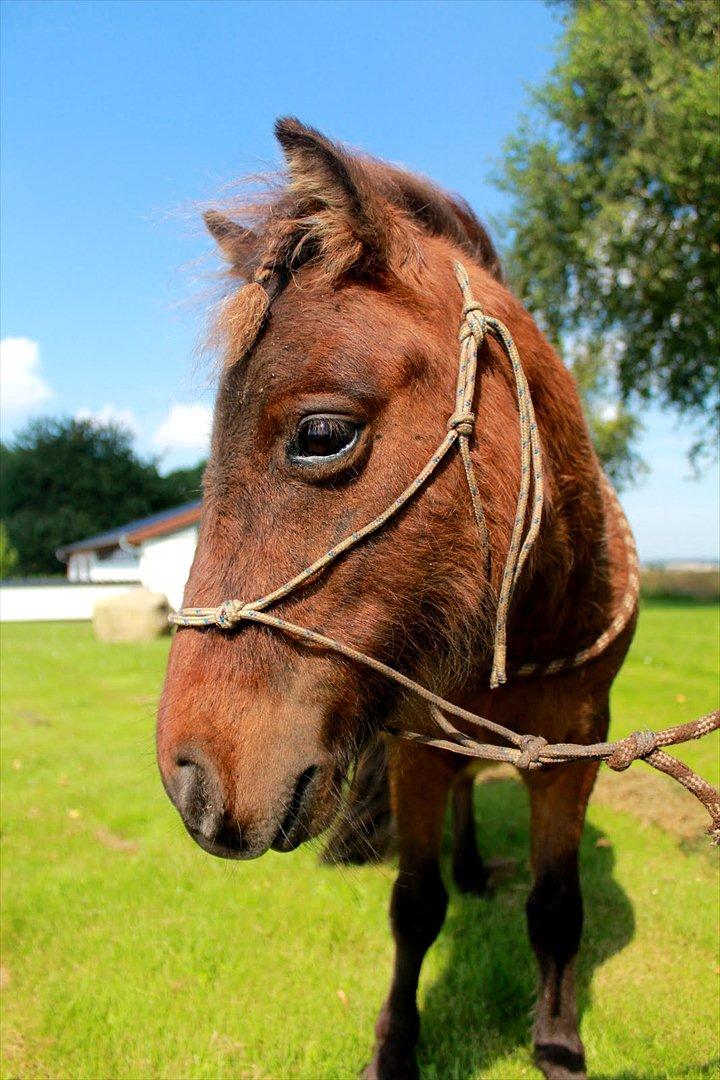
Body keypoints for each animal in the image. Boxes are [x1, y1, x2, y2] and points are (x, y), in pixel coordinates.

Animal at [156, 120, 634, 1080]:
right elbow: (415, 905)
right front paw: (395, 1049)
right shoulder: (416, 747)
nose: (188, 776)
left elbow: (557, 906)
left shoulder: (576, 747)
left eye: (321, 434)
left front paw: (558, 1041)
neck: (525, 626)